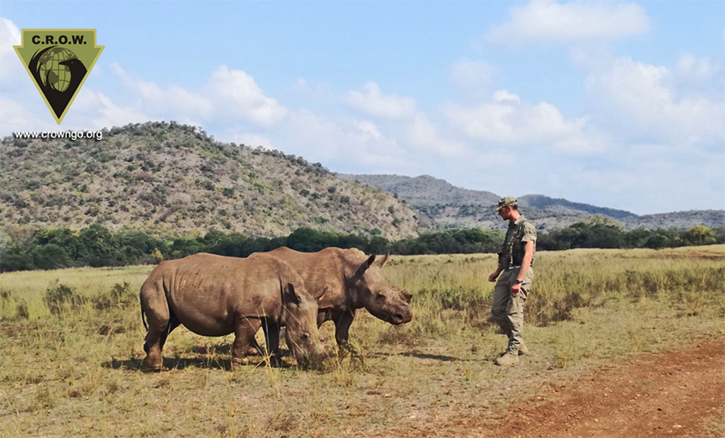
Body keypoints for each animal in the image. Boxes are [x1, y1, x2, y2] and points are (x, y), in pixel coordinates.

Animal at [140, 253, 320, 370]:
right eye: (304, 336)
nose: (316, 363)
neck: (289, 295)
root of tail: (149, 276)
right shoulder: (249, 314)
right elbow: (242, 338)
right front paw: (238, 365)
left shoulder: (272, 315)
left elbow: (273, 338)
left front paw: (277, 363)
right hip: (155, 285)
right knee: (163, 322)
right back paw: (157, 367)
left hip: (166, 284)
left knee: (168, 324)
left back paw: (151, 360)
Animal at [262, 246, 410, 352]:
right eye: (380, 295)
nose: (406, 316)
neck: (354, 272)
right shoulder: (319, 304)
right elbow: (312, 328)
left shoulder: (348, 307)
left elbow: (342, 336)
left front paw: (347, 356)